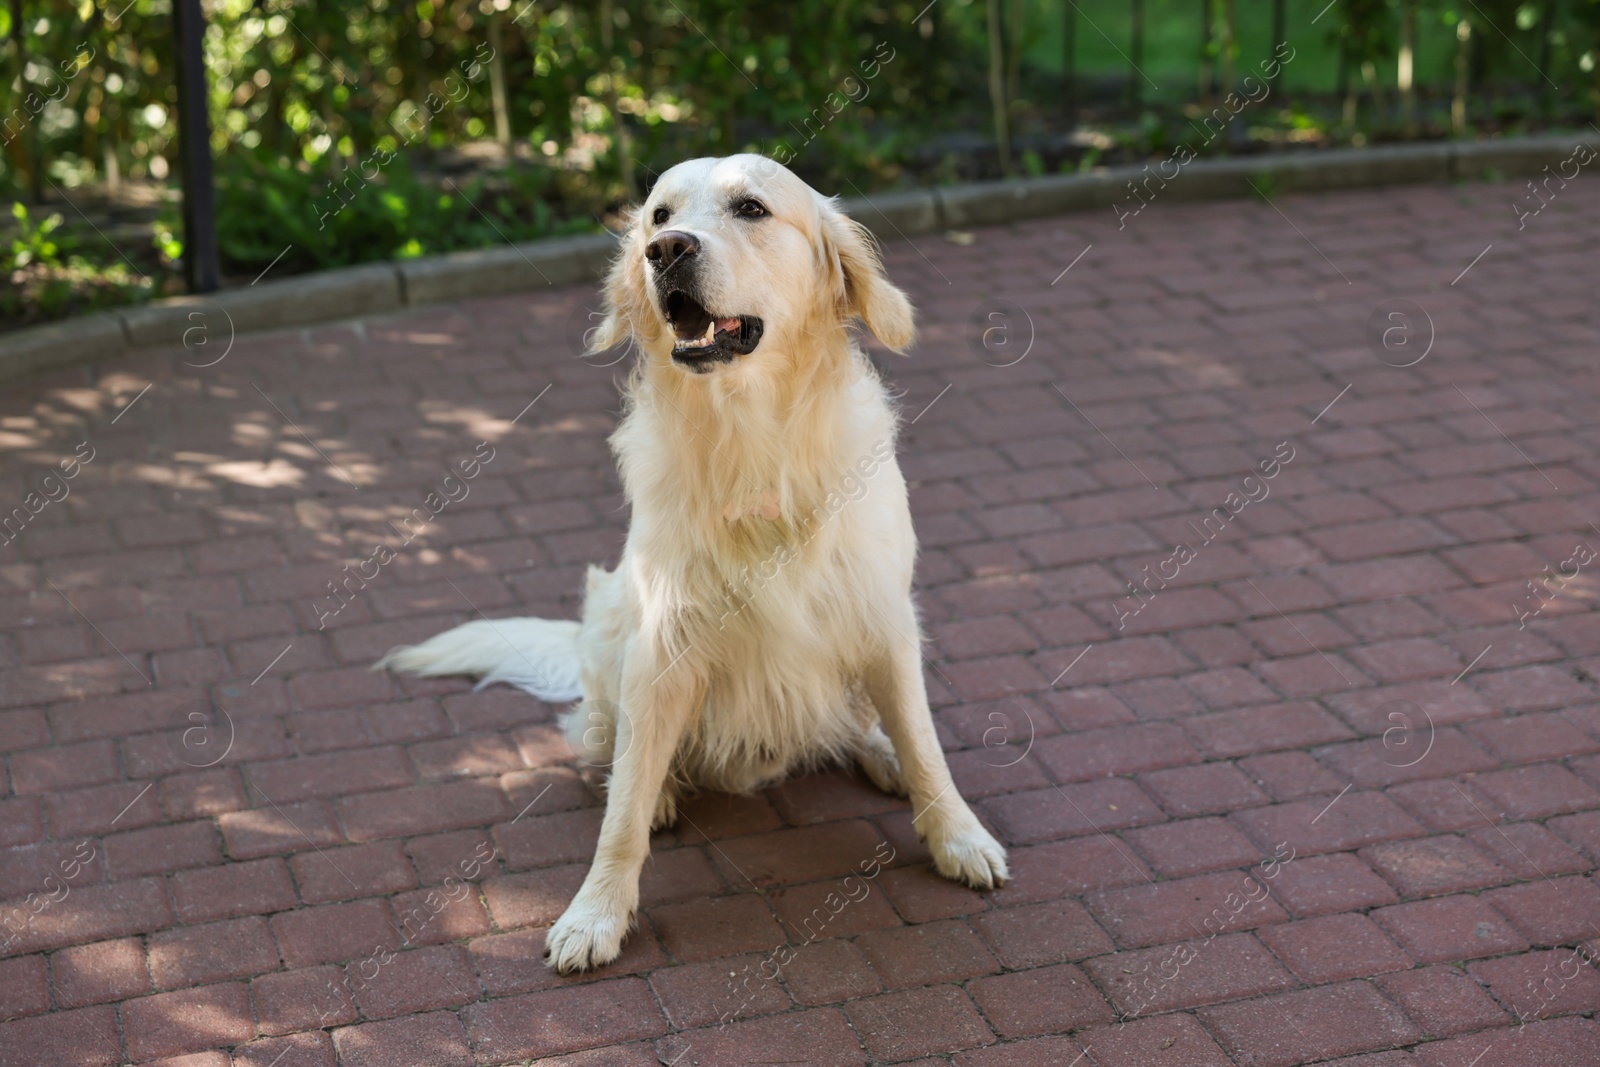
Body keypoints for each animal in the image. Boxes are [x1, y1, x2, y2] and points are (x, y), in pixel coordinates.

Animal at [377, 154, 998, 972]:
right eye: (658, 214)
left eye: (752, 208)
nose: (666, 250)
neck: (752, 444)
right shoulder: (663, 640)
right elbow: (623, 808)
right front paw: (596, 912)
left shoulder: (883, 611)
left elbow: (926, 745)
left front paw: (958, 836)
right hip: (610, 624)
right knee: (615, 747)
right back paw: (665, 790)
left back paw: (878, 750)